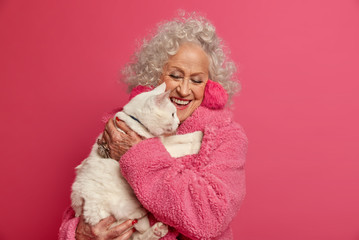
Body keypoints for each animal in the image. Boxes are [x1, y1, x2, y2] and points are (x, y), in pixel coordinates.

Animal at [71, 83, 204, 240]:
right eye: (172, 114)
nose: (178, 123)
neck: (136, 123)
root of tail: (80, 208)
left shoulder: (163, 140)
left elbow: (183, 137)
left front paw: (200, 134)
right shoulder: (162, 147)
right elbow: (182, 146)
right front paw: (197, 145)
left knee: (138, 235)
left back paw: (157, 230)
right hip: (116, 209)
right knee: (129, 221)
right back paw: (141, 212)